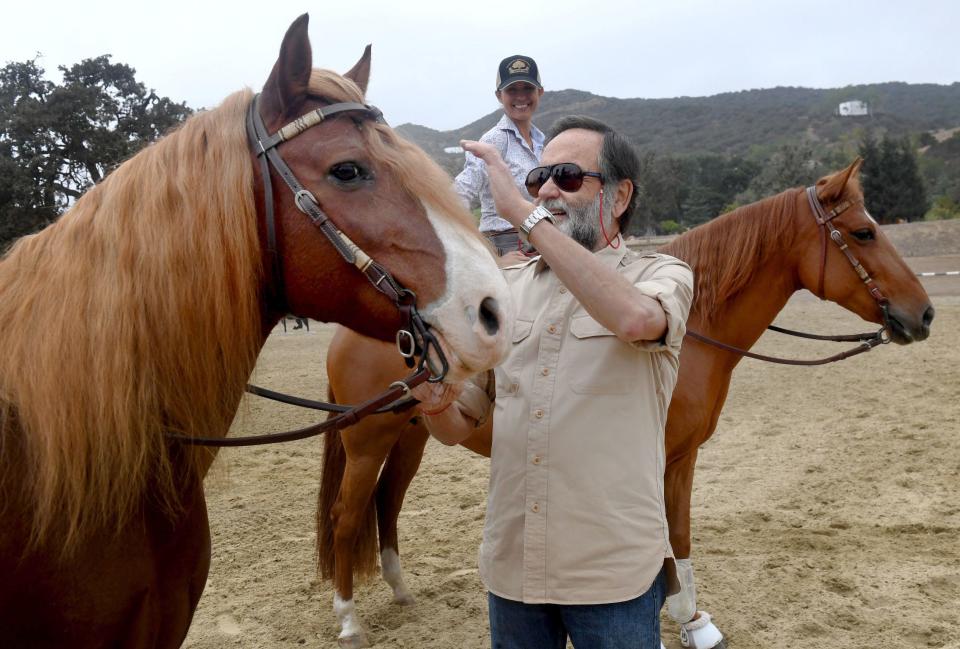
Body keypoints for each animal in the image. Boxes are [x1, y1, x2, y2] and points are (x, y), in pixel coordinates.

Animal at [318, 158, 932, 648]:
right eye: (863, 233)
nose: (923, 314)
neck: (695, 323)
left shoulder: (681, 458)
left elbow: (677, 535)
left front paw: (693, 620)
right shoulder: (655, 459)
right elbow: (660, 543)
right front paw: (678, 614)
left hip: (412, 435)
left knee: (387, 503)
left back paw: (400, 591)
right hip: (367, 440)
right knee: (347, 517)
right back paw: (348, 620)